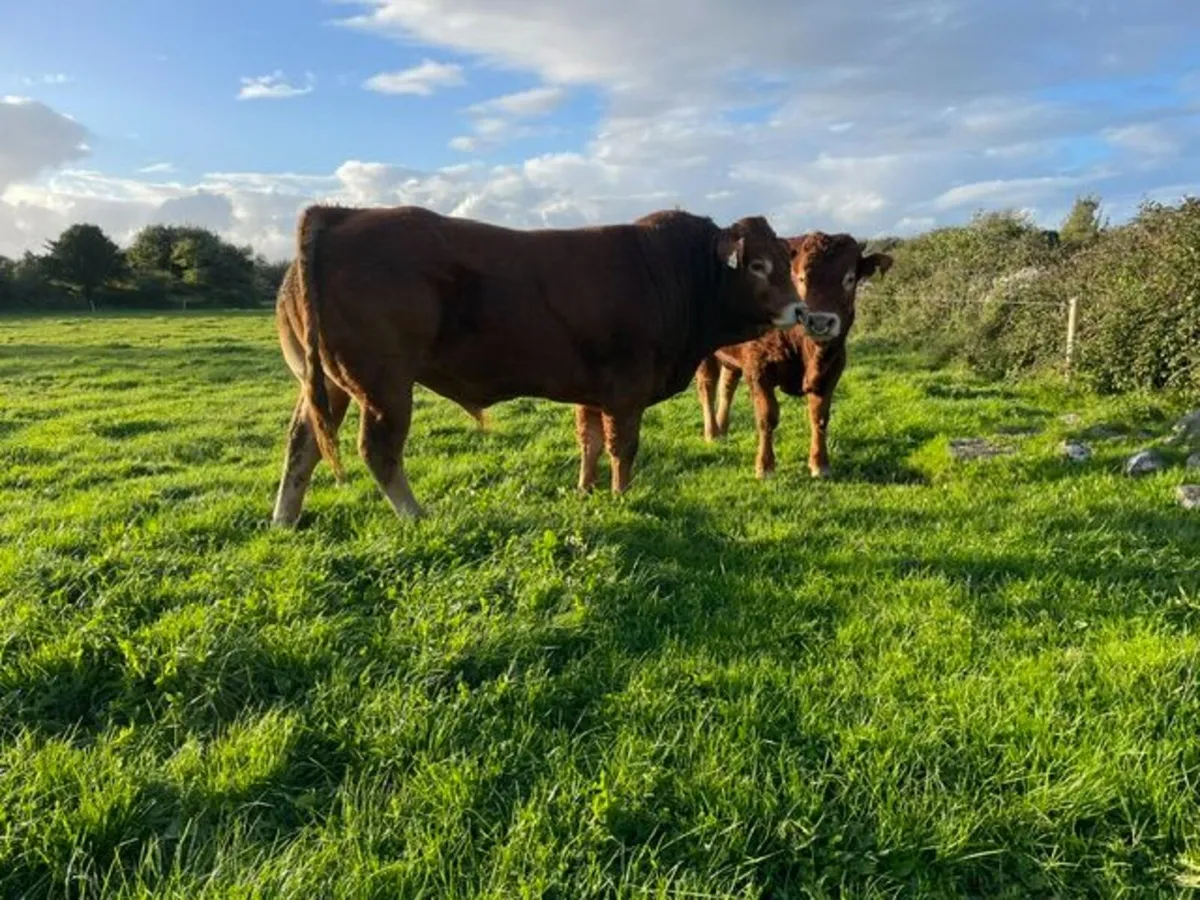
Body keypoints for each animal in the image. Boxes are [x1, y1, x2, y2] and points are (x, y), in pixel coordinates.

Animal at [270, 203, 815, 527]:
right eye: (757, 265)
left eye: (786, 261)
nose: (799, 312)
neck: (671, 271)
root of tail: (341, 215)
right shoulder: (626, 390)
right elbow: (623, 448)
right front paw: (622, 498)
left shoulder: (591, 391)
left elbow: (589, 441)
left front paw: (587, 491)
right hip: (383, 385)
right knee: (377, 450)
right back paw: (415, 515)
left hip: (329, 383)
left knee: (303, 443)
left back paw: (285, 520)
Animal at [695, 231, 893, 479]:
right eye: (800, 278)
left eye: (849, 279)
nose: (820, 321)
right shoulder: (758, 370)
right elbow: (767, 417)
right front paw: (765, 467)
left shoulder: (831, 371)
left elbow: (819, 416)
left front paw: (820, 464)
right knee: (707, 386)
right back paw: (712, 432)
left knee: (726, 387)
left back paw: (722, 429)